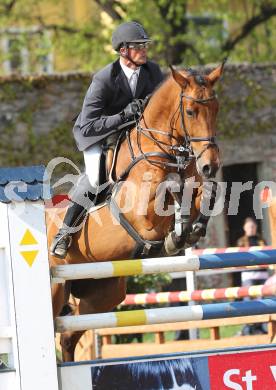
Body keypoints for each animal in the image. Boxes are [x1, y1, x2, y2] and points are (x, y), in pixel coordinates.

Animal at [47, 59, 224, 362]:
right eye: (190, 111)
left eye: (216, 109)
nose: (210, 165)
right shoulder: (142, 217)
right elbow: (169, 197)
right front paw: (175, 237)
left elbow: (205, 193)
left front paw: (193, 228)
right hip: (55, 287)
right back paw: (60, 242)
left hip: (102, 293)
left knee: (68, 337)